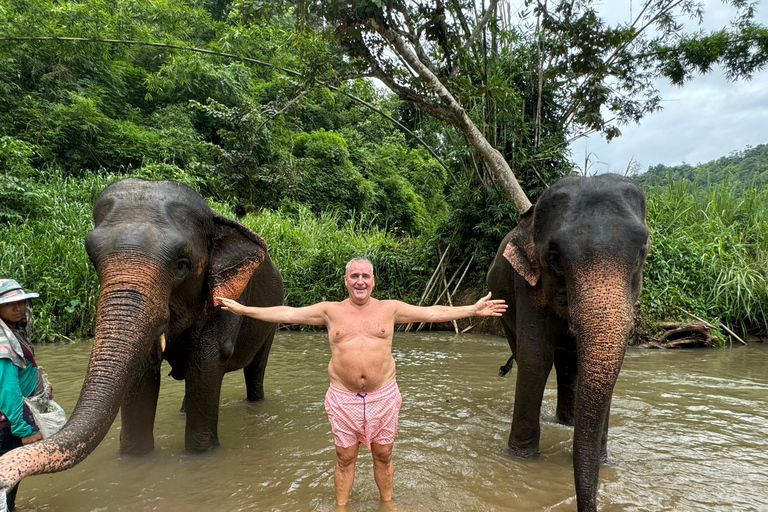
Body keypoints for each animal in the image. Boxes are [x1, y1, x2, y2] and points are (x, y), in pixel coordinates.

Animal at [0, 179, 284, 496]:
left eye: (182, 264)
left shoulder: (227, 299)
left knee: (255, 370)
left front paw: (202, 455)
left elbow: (207, 363)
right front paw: (136, 461)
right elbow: (142, 374)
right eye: (92, 259)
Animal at [486, 173, 648, 512]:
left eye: (643, 252)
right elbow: (535, 358)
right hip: (502, 307)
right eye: (554, 258)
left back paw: (568, 423)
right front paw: (522, 460)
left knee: (570, 365)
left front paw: (603, 460)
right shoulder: (527, 285)